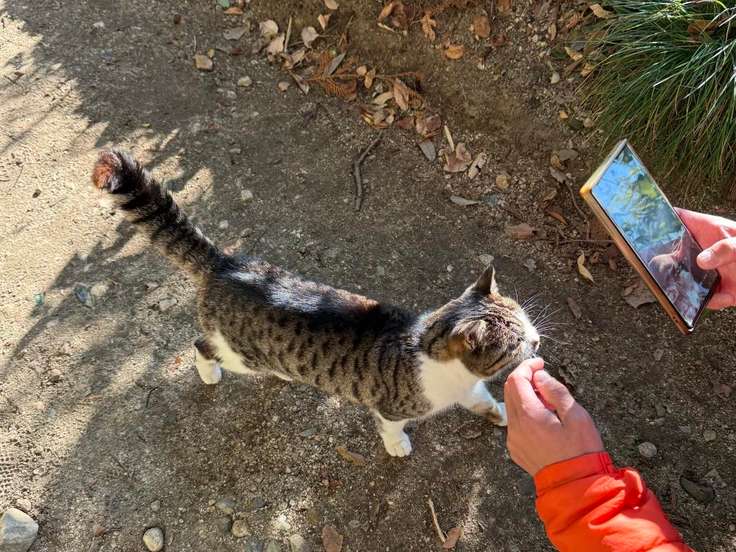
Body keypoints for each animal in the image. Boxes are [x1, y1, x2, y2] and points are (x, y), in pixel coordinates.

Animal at [91, 150, 540, 457]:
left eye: (526, 322)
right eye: (516, 341)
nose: (537, 342)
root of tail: (225, 264)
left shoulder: (469, 388)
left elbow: (482, 400)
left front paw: (504, 414)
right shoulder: (392, 407)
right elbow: (392, 427)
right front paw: (398, 445)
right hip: (240, 354)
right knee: (202, 346)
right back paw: (209, 373)